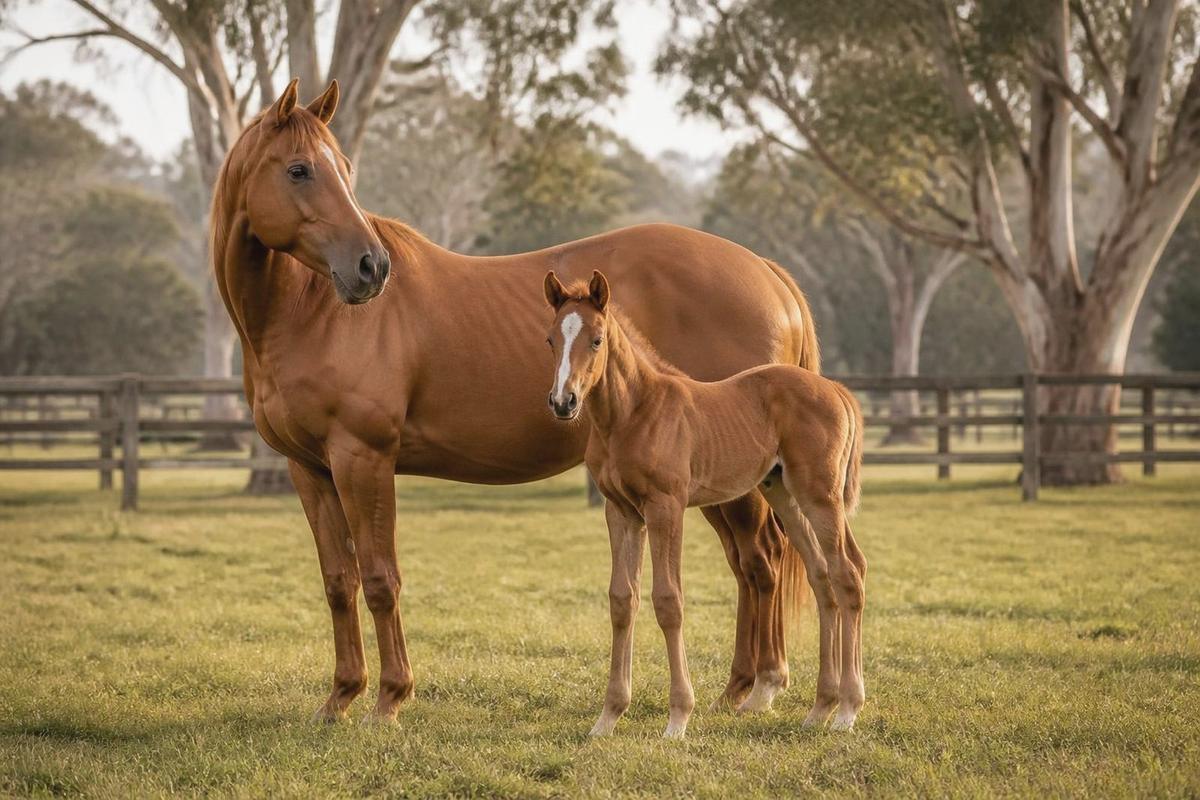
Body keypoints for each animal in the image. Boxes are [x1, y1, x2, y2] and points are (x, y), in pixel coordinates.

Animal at [211, 78, 820, 723]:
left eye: (344, 169)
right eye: (299, 169)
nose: (371, 268)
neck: (309, 314)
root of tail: (767, 273)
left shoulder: (363, 459)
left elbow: (379, 578)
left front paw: (389, 698)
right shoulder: (310, 469)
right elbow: (338, 581)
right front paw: (340, 698)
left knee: (761, 559)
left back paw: (763, 686)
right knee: (749, 563)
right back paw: (739, 687)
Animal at [543, 270, 866, 737]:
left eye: (597, 340)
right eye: (551, 339)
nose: (562, 402)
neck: (634, 413)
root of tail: (838, 391)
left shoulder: (666, 507)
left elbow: (668, 601)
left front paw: (678, 718)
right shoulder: (621, 512)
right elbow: (622, 600)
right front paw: (608, 717)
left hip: (820, 495)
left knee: (848, 572)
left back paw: (847, 710)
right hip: (783, 493)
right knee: (822, 575)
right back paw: (820, 708)